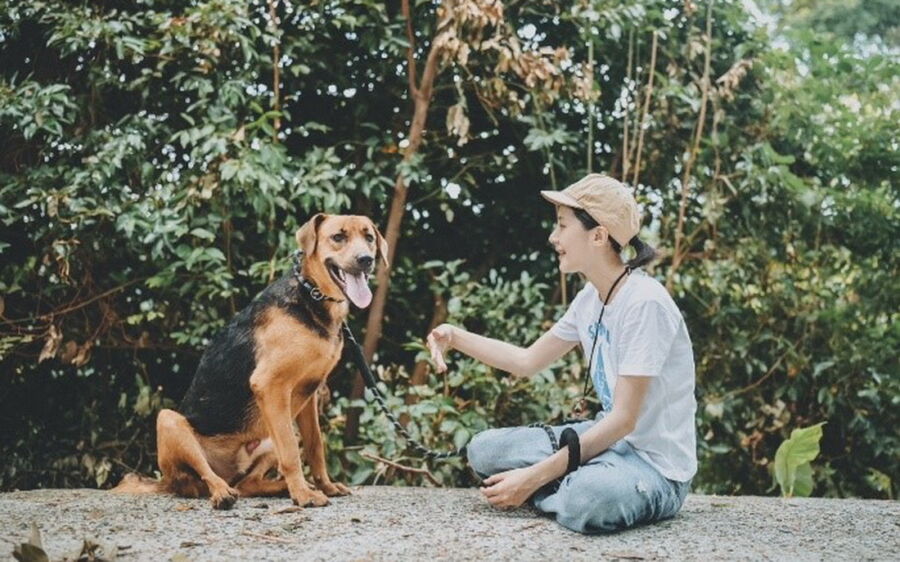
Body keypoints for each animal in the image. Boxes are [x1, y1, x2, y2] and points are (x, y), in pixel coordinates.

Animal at [113, 214, 388, 509]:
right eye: (338, 237)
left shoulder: (309, 393)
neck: (311, 296)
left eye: (369, 237)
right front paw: (303, 495)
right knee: (204, 477)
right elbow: (291, 452)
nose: (365, 259)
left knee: (248, 484)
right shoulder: (270, 385)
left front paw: (324, 485)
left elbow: (315, 446)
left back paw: (279, 487)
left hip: (267, 434)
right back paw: (223, 493)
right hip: (170, 422)